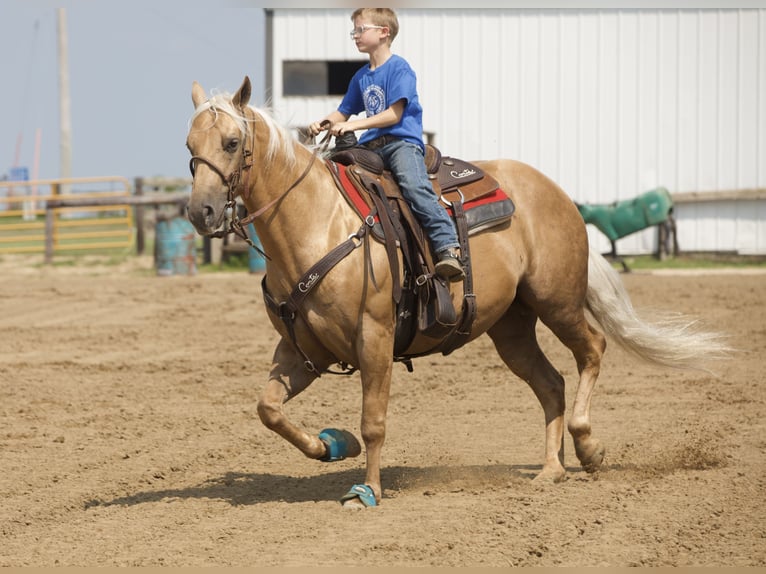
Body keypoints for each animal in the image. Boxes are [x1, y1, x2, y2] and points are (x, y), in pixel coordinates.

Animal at [188, 75, 732, 508]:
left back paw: (589, 448)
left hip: (557, 300)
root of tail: (557, 193)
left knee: (592, 350)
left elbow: (374, 421)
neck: (318, 223)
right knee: (551, 383)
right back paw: (551, 470)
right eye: (190, 145)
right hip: (512, 326)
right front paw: (332, 445)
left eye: (232, 142)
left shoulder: (375, 339)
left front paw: (367, 490)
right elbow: (269, 409)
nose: (200, 212)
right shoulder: (302, 350)